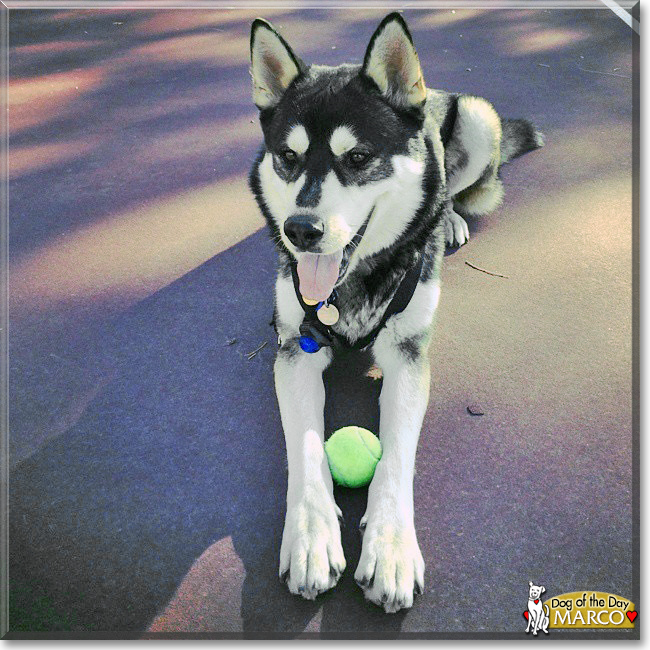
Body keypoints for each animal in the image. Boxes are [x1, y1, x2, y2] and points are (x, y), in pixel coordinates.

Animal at [246, 12, 540, 612]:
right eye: (288, 158)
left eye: (357, 158)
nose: (300, 230)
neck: (353, 283)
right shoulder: (294, 349)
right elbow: (305, 449)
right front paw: (311, 537)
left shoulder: (408, 355)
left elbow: (397, 455)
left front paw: (392, 548)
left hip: (477, 120)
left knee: (452, 191)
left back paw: (448, 219)